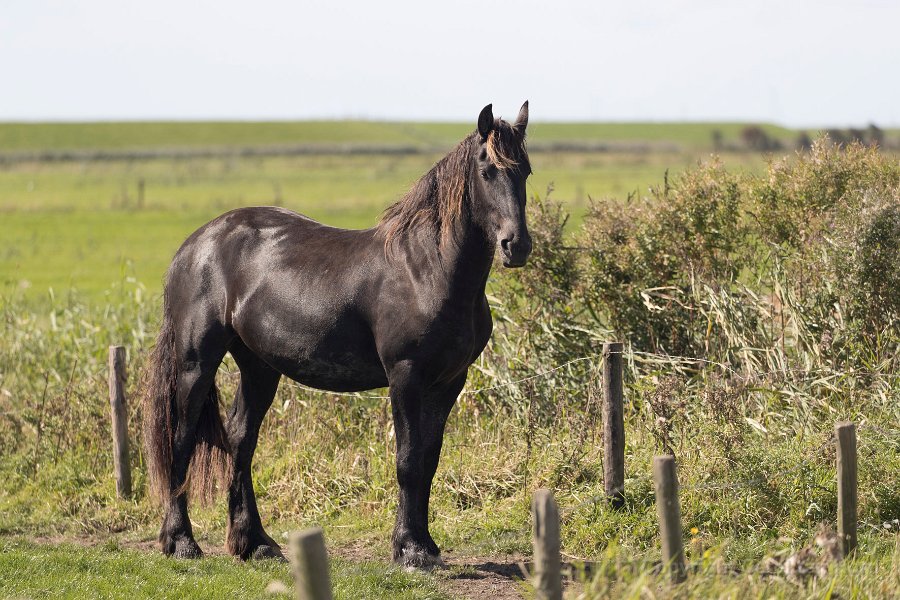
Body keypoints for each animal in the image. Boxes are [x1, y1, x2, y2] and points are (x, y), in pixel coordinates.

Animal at [144, 103, 532, 568]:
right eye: (488, 170)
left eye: (525, 170)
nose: (516, 245)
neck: (427, 269)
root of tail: (195, 244)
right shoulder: (406, 376)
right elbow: (408, 460)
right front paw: (409, 549)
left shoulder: (449, 382)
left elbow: (428, 460)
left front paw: (425, 544)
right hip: (195, 361)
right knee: (181, 439)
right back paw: (181, 541)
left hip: (259, 367)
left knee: (240, 440)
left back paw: (255, 542)